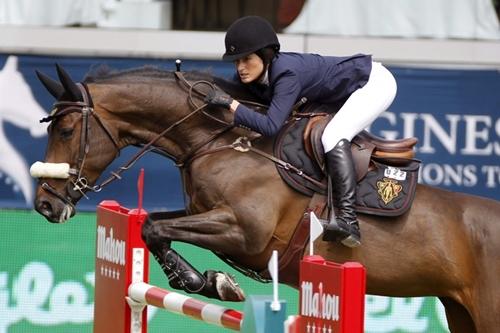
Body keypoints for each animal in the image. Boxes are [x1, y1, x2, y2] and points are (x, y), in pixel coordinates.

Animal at [32, 63, 500, 330]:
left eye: (66, 130)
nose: (44, 205)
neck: (220, 140)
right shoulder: (207, 214)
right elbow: (155, 225)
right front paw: (210, 282)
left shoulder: (246, 233)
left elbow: (155, 227)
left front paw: (210, 283)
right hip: (461, 314)